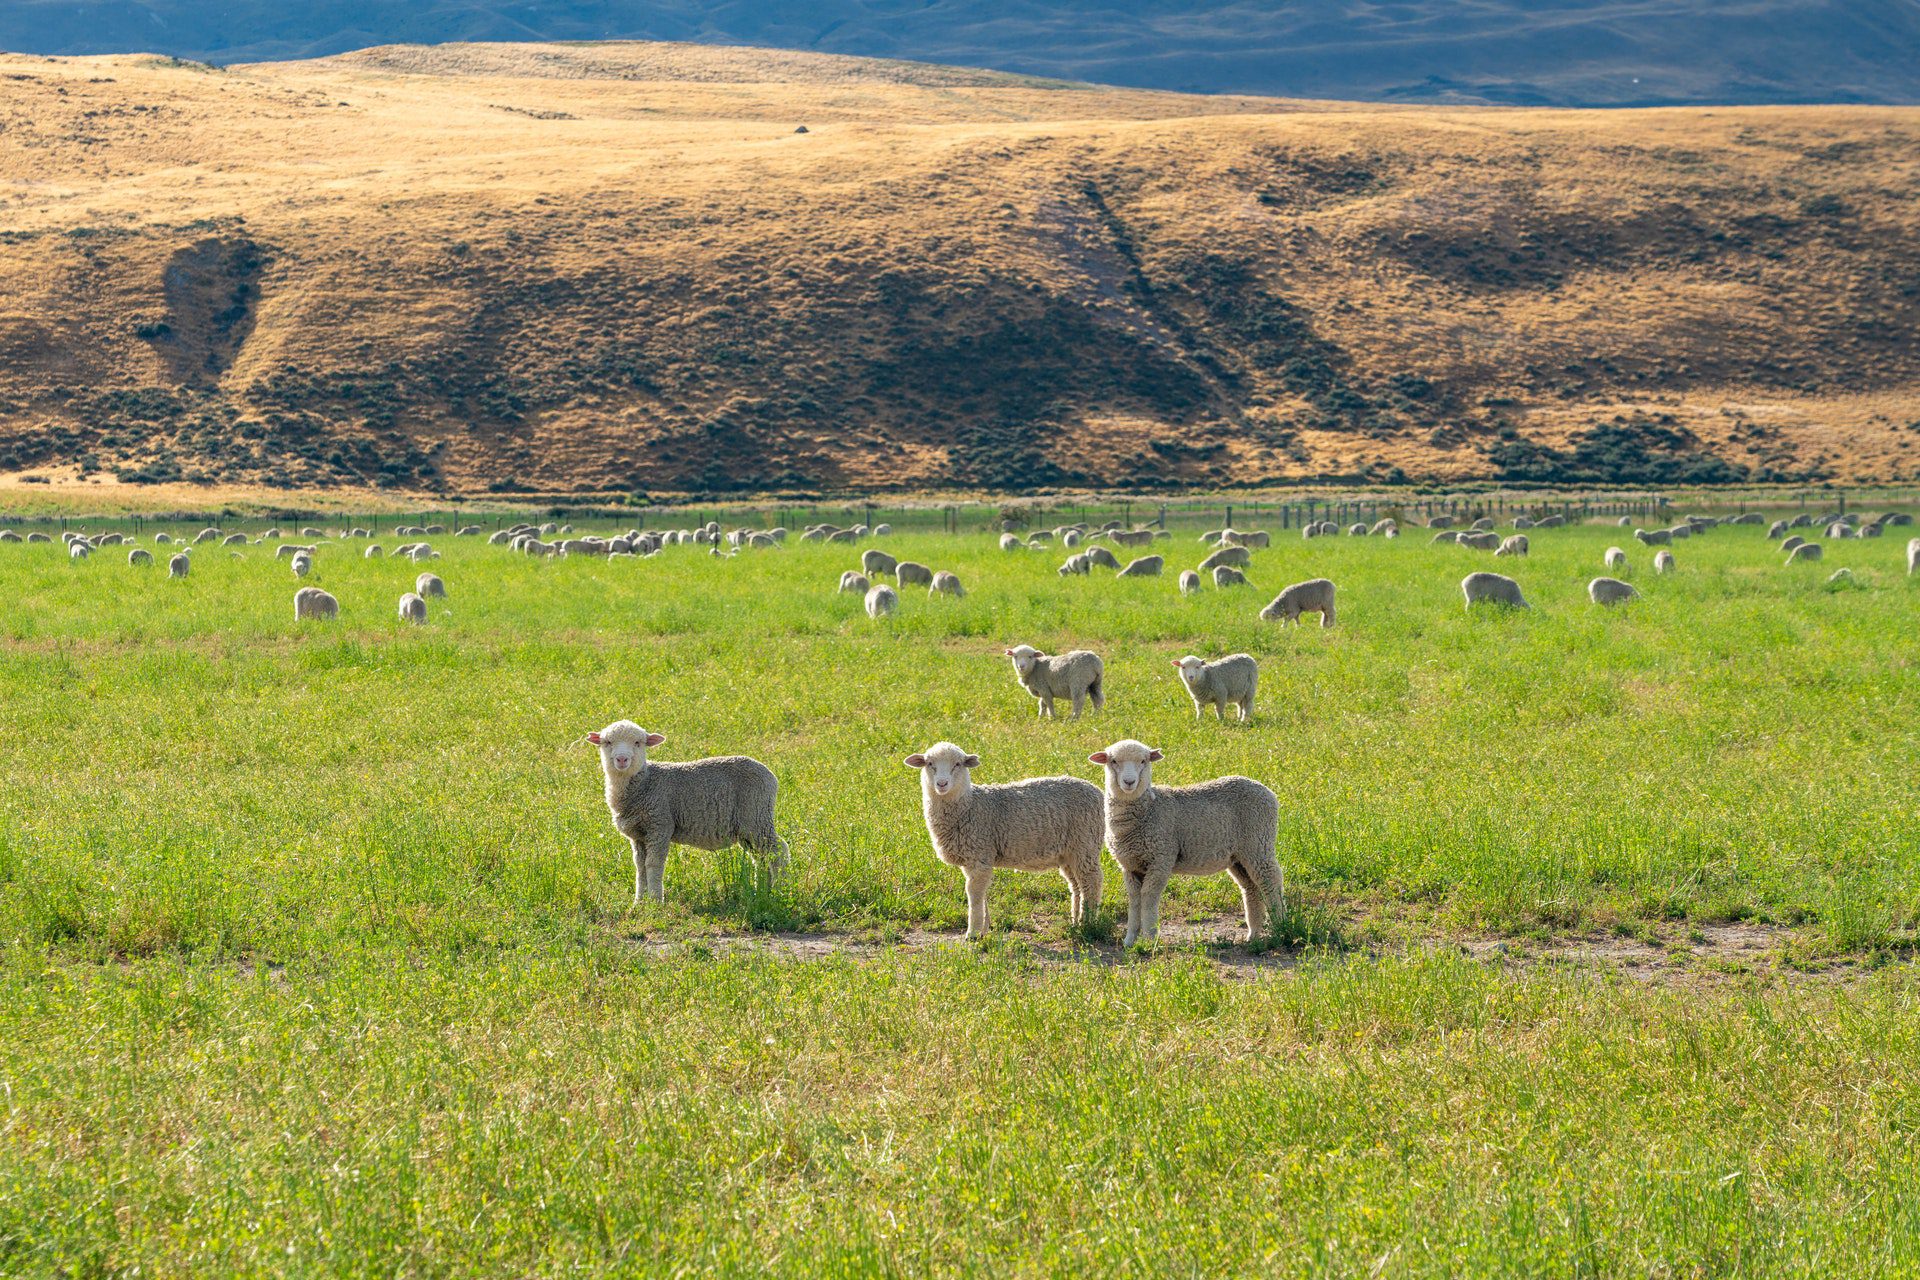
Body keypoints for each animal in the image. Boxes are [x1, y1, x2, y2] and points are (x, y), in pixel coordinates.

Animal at [591, 717, 787, 905]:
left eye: (638, 743)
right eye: (607, 742)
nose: (622, 759)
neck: (645, 782)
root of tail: (771, 776)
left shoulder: (660, 825)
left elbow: (653, 864)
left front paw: (655, 901)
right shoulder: (638, 835)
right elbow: (640, 867)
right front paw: (639, 902)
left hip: (757, 816)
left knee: (779, 851)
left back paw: (781, 891)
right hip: (748, 829)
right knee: (761, 858)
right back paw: (762, 891)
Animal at [902, 740, 1105, 940]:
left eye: (958, 764)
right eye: (929, 763)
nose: (942, 783)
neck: (969, 805)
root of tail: (1097, 790)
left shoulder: (979, 853)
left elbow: (974, 893)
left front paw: (972, 933)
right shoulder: (974, 858)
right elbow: (980, 892)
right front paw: (983, 929)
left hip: (1085, 843)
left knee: (1092, 881)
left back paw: (1088, 924)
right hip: (1069, 853)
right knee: (1076, 886)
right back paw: (1075, 921)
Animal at [1090, 744, 1282, 948]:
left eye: (1143, 761)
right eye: (1113, 761)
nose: (1129, 782)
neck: (1149, 809)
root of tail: (1267, 791)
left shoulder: (1161, 858)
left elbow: (1149, 896)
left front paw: (1150, 938)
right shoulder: (1130, 865)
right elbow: (1134, 899)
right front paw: (1130, 940)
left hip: (1259, 842)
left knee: (1271, 881)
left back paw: (1281, 927)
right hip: (1239, 856)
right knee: (1251, 889)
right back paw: (1253, 935)